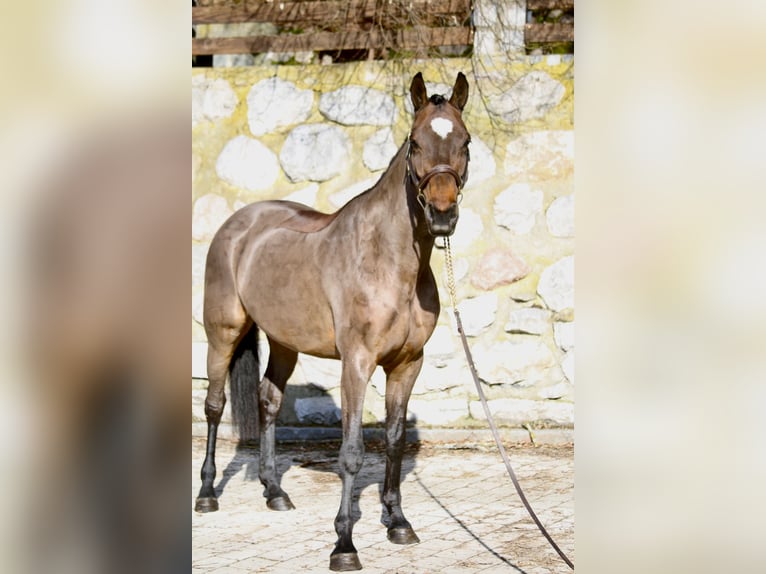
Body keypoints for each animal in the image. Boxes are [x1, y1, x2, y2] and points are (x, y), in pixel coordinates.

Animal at [195, 72, 471, 571]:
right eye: (416, 142)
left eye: (465, 141)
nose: (442, 215)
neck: (389, 261)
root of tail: (240, 224)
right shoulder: (356, 364)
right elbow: (352, 452)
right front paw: (344, 543)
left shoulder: (408, 364)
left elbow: (394, 440)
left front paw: (398, 523)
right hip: (222, 334)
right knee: (213, 405)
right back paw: (207, 494)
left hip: (284, 342)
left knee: (268, 401)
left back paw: (275, 492)